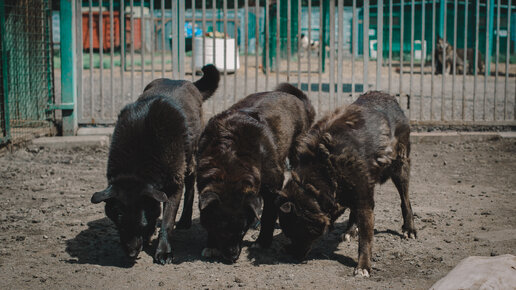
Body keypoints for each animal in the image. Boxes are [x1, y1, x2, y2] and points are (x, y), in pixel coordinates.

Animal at [91, 64, 220, 264]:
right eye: (119, 223)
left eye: (141, 225)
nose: (131, 253)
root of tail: (186, 82)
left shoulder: (173, 187)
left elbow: (167, 221)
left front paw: (164, 251)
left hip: (190, 160)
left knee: (190, 188)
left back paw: (185, 220)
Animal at [197, 84, 314, 262]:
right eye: (221, 230)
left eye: (242, 231)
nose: (232, 256)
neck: (230, 161)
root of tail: (294, 96)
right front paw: (211, 245)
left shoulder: (273, 186)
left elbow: (268, 216)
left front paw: (262, 242)